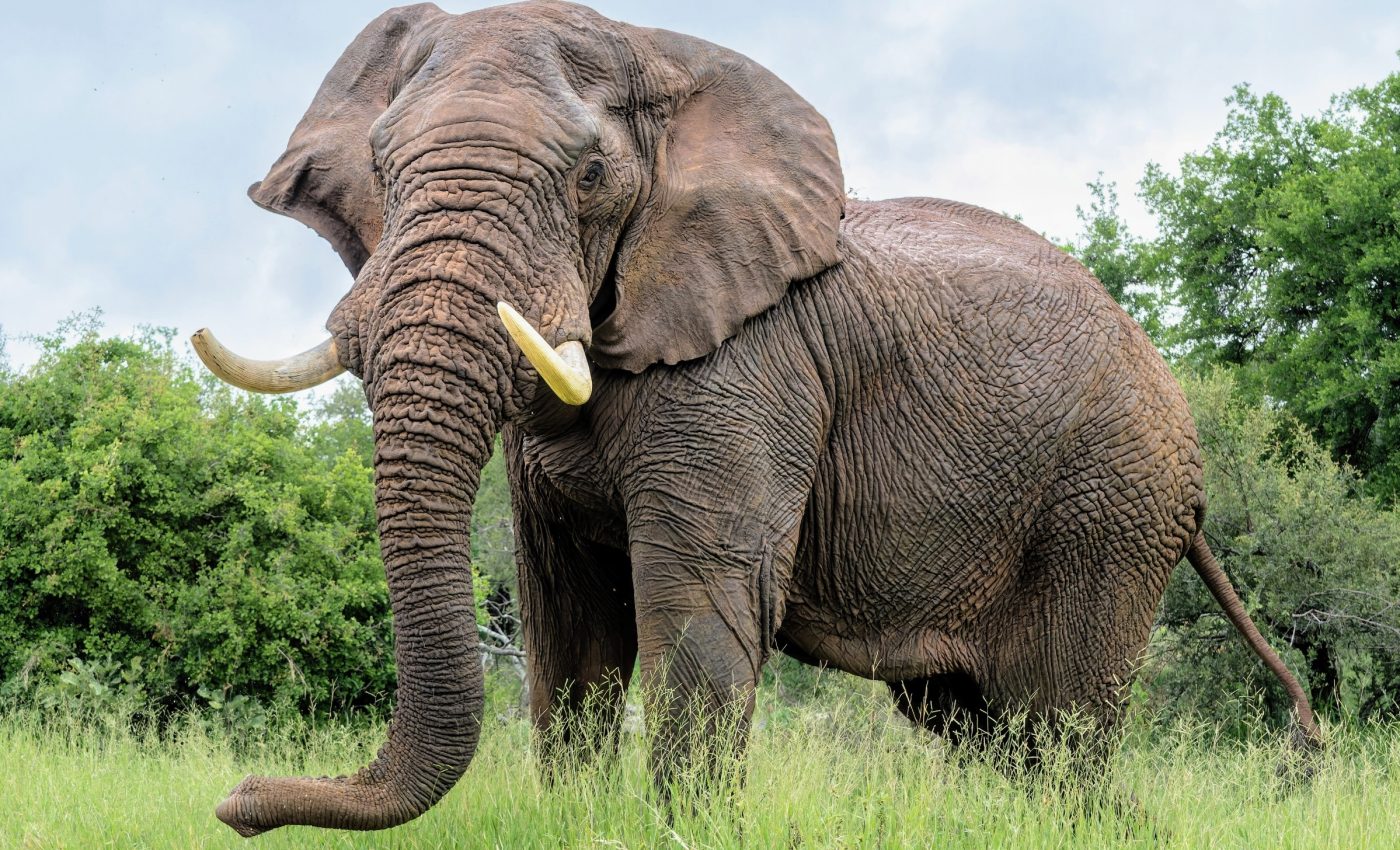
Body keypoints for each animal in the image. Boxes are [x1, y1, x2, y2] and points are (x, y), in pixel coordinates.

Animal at [192, 1, 1321, 836]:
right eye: (382, 172)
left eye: (588, 177)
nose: (239, 800)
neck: (663, 57)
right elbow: (567, 634)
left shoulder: (746, 370)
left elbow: (698, 616)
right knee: (990, 731)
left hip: (1107, 505)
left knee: (1061, 727)